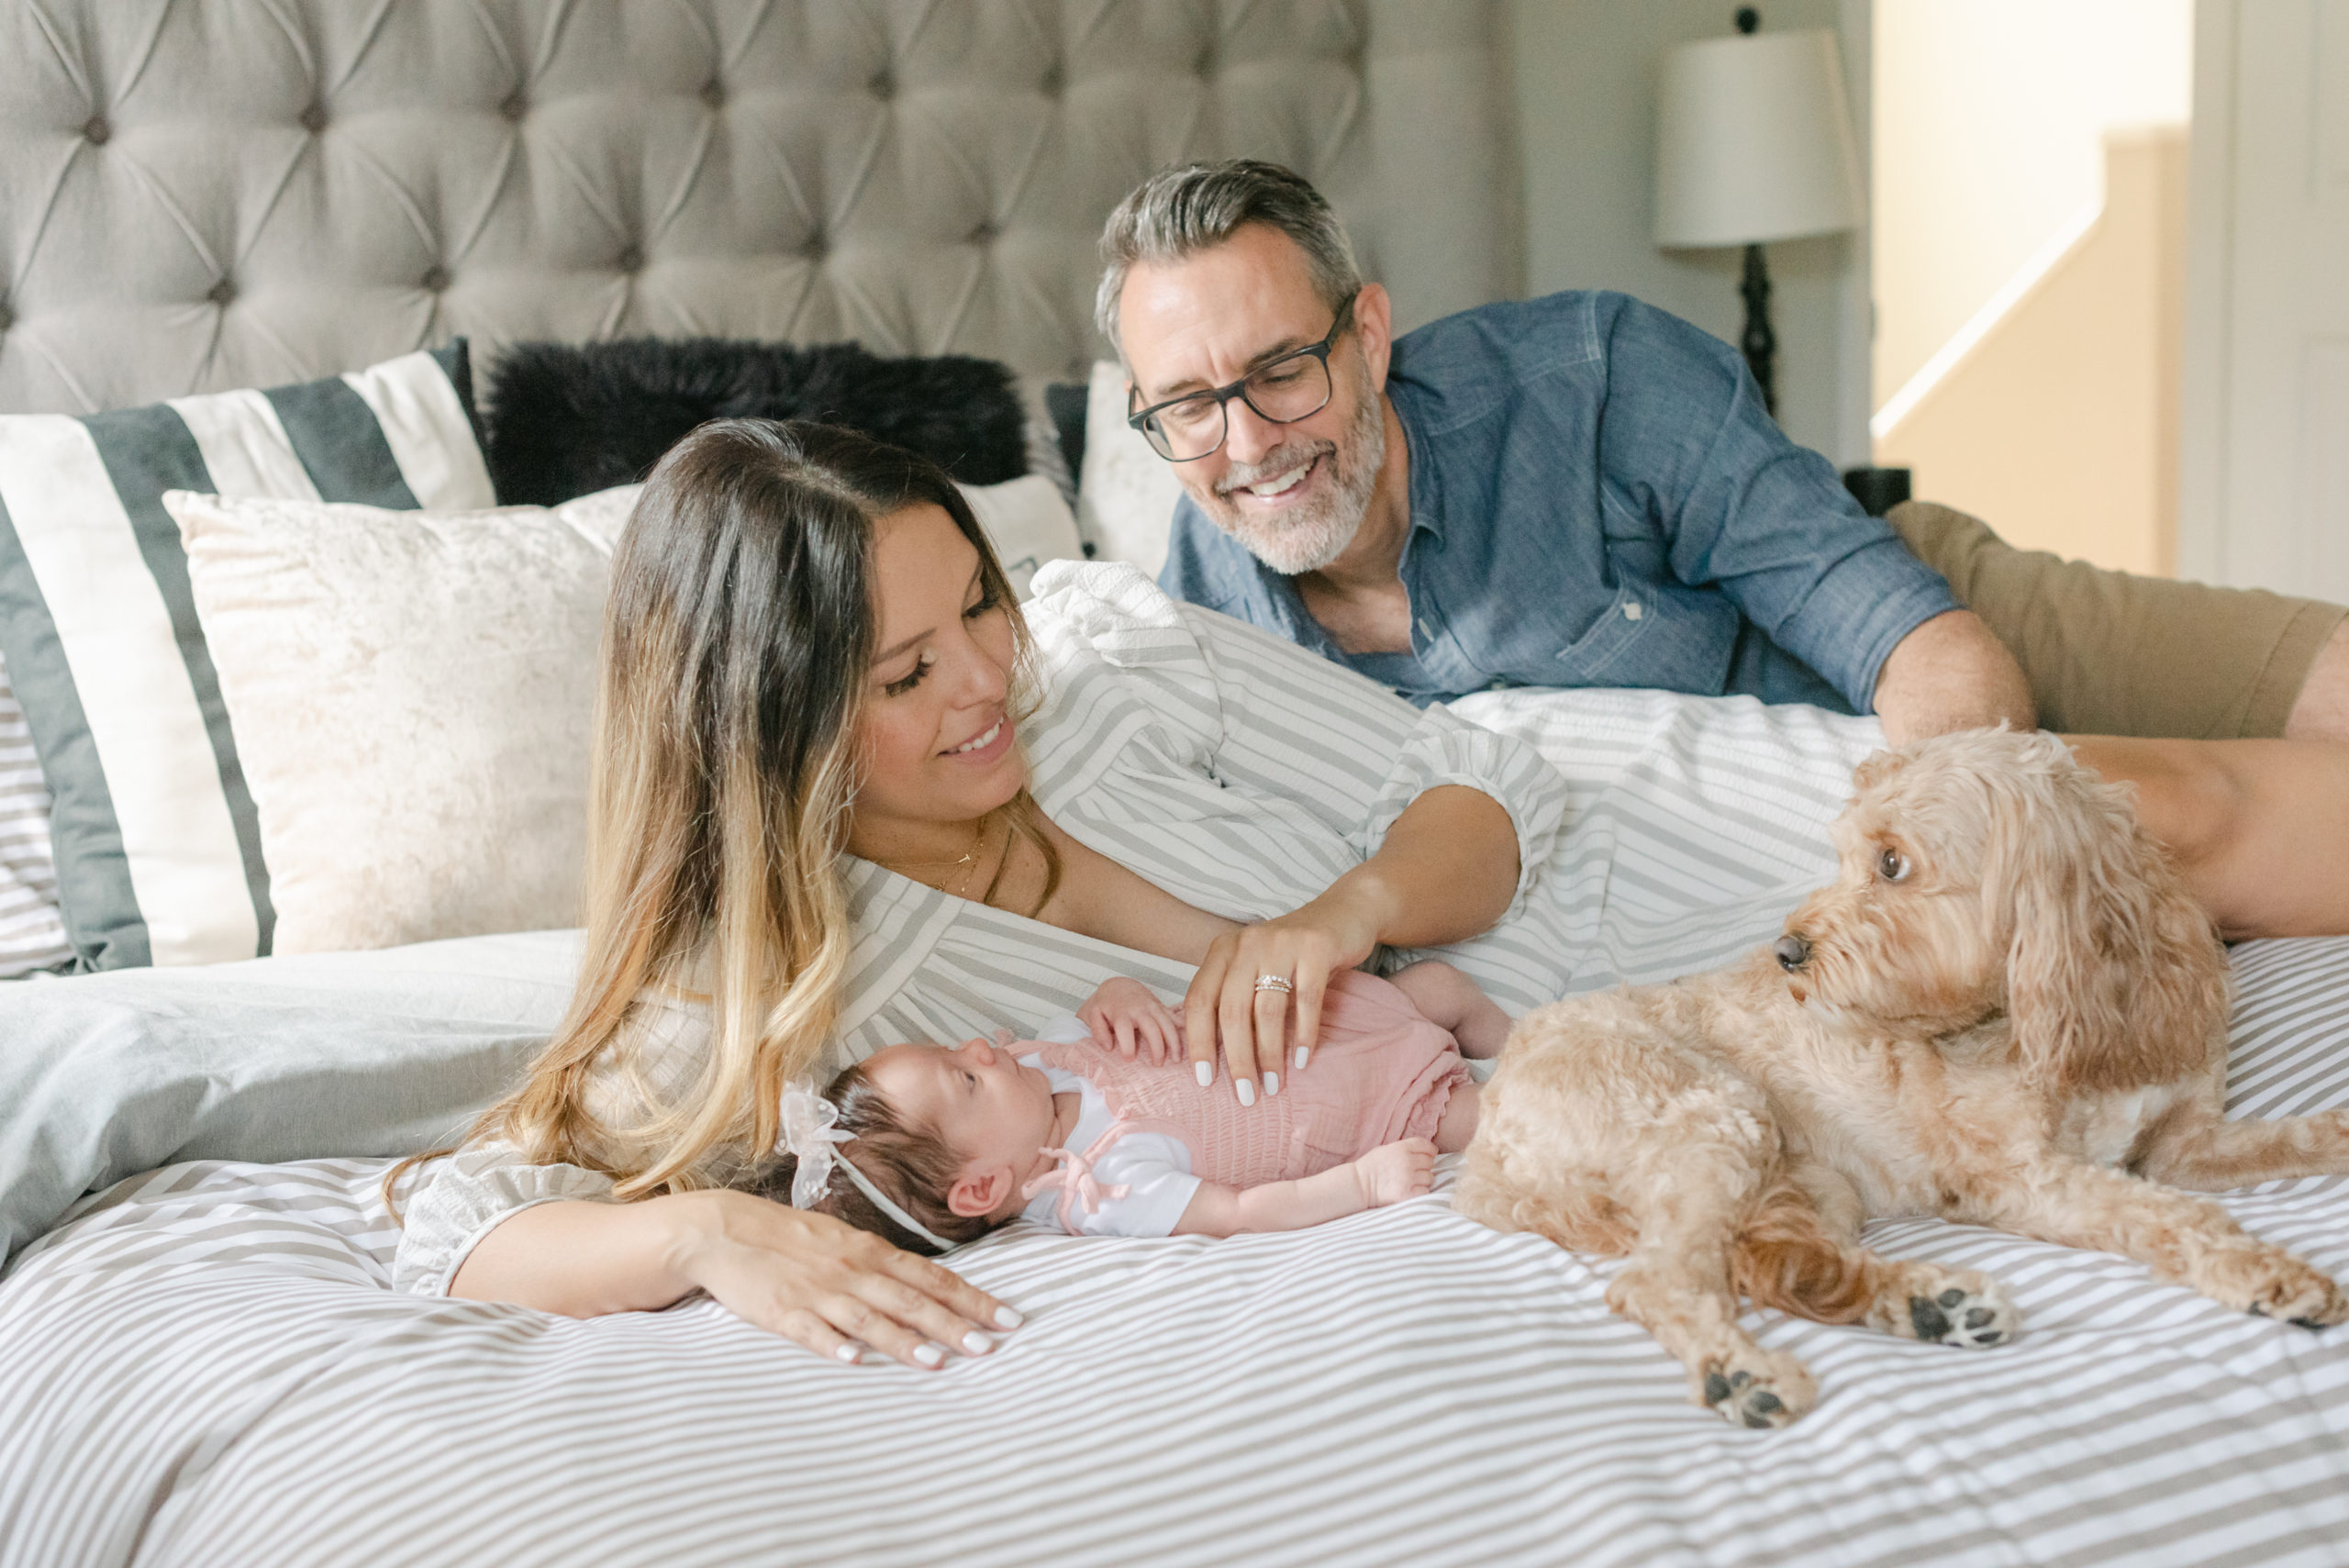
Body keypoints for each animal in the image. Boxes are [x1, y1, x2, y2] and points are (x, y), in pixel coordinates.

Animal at [1456, 728, 2339, 1427]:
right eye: (1849, 855)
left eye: (1890, 862)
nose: (1787, 952)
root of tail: (1486, 1146)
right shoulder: (2023, 1176)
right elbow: (2175, 1215)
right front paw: (2268, 1272)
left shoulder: (2184, 1141)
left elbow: (2295, 1135)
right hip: (1721, 1115)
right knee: (1659, 1277)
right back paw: (1743, 1371)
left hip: (1809, 1180)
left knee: (1769, 1263)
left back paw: (1932, 1305)